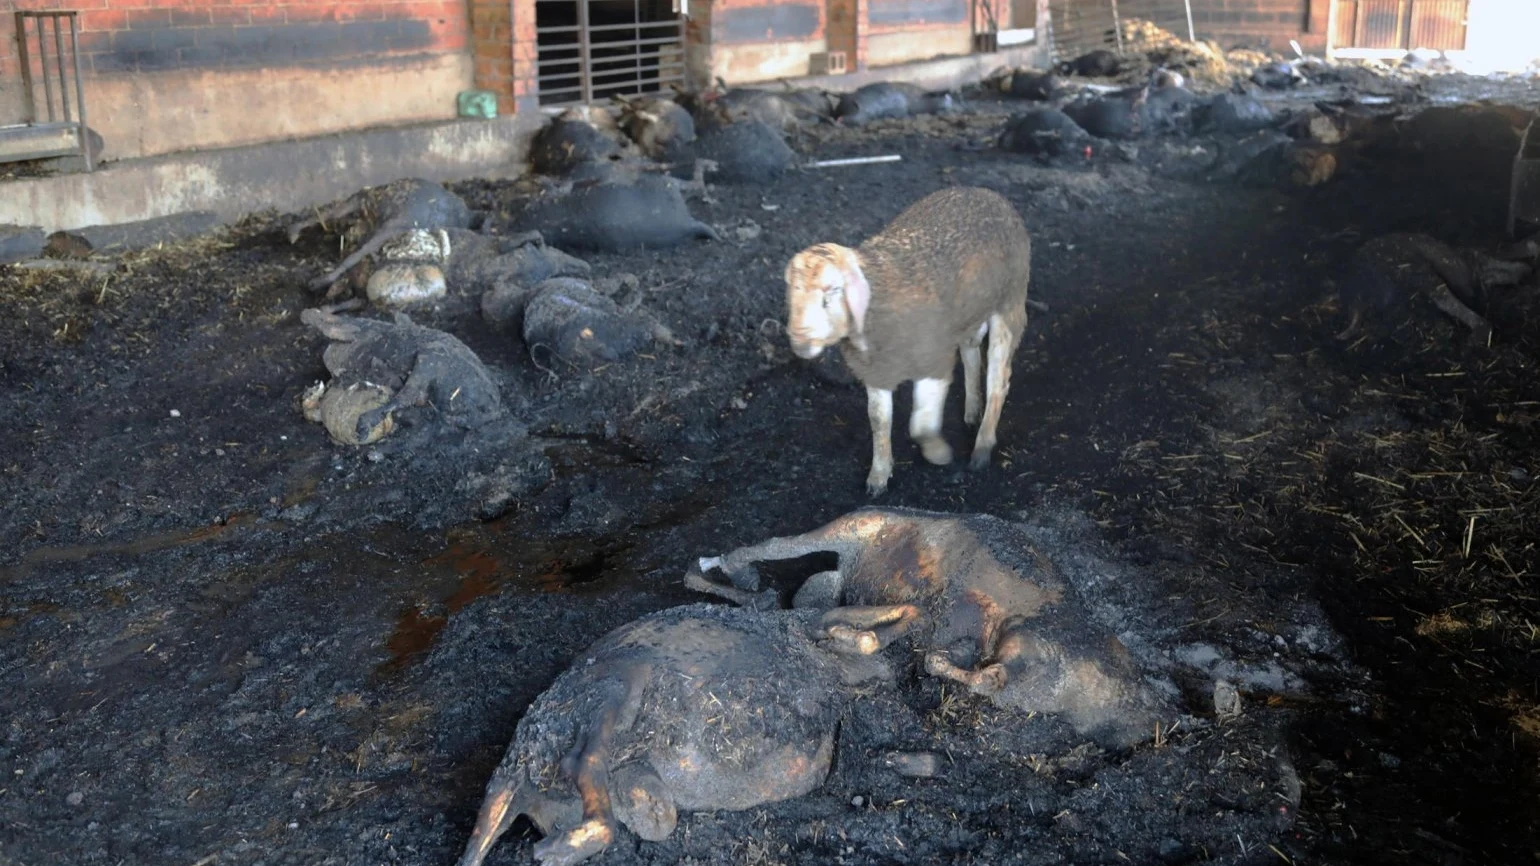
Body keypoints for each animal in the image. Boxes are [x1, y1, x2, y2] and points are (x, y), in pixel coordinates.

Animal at [782, 187, 1034, 493]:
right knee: (971, 352)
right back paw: (972, 410)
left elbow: (921, 427)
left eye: (831, 290)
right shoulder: (877, 372)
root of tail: (987, 193)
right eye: (790, 291)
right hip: (969, 312)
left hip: (1010, 302)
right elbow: (879, 420)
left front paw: (937, 454)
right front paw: (879, 475)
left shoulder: (933, 362)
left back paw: (982, 447)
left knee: (999, 379)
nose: (799, 339)